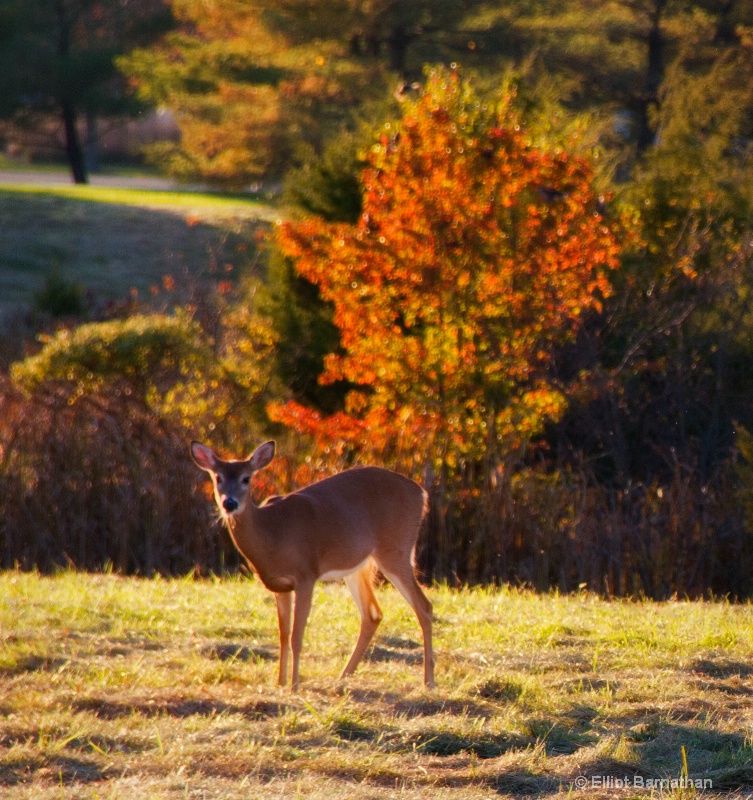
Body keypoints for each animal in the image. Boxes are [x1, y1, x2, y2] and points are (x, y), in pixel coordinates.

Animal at [189, 440, 434, 692]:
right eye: (218, 477)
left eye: (246, 478)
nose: (229, 503)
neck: (271, 534)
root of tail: (421, 493)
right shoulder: (279, 585)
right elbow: (283, 635)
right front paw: (280, 682)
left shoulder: (306, 574)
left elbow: (297, 636)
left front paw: (294, 685)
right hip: (359, 566)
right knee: (372, 614)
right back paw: (344, 675)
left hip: (395, 550)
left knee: (424, 606)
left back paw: (428, 681)